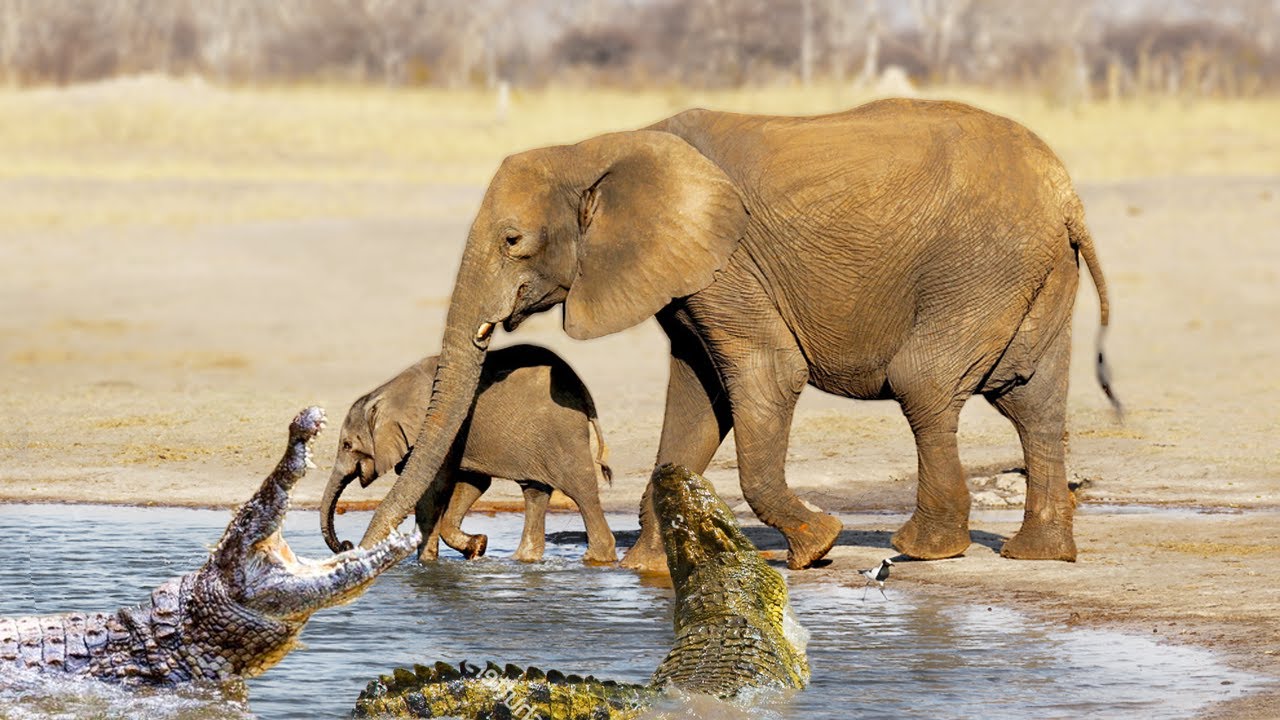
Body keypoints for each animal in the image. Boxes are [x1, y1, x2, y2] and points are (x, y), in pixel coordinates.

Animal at [320, 343, 617, 565]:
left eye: (347, 445)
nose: (346, 544)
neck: (386, 391)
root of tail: (585, 394)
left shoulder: (442, 429)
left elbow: (434, 488)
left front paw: (427, 564)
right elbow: (472, 482)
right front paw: (477, 546)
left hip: (562, 432)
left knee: (579, 488)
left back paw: (597, 558)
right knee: (534, 490)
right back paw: (523, 559)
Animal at [353, 98, 1119, 573]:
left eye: (513, 241)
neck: (599, 145)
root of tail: (1069, 197)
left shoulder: (729, 262)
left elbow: (767, 375)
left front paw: (816, 547)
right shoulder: (687, 275)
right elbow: (698, 398)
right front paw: (648, 569)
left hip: (981, 267)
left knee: (927, 381)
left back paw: (923, 549)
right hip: (1033, 274)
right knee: (1032, 400)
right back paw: (1037, 555)